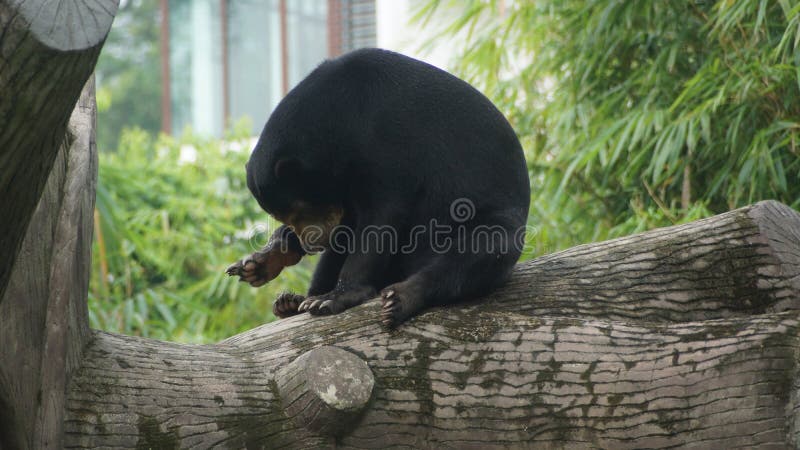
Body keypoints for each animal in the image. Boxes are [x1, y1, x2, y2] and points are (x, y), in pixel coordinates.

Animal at [225, 48, 532, 326]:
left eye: (300, 210)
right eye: (283, 216)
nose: (311, 244)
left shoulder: (386, 146)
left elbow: (381, 218)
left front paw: (334, 297)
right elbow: (348, 229)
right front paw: (262, 260)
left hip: (487, 223)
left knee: (480, 250)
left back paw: (399, 298)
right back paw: (291, 300)